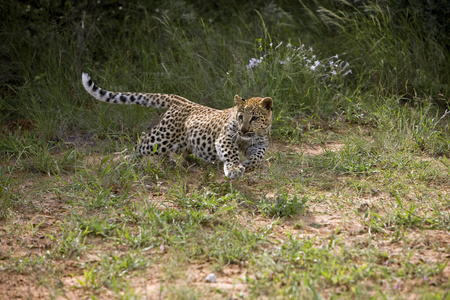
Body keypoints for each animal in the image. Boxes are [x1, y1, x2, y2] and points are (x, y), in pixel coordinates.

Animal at [82, 73, 272, 178]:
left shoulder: (260, 144)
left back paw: (172, 163)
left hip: (177, 142)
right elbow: (231, 152)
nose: (243, 130)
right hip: (162, 138)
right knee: (142, 141)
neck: (249, 137)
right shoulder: (225, 138)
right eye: (240, 117)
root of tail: (180, 99)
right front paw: (234, 168)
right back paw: (132, 164)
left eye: (254, 118)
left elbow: (259, 157)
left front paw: (249, 165)